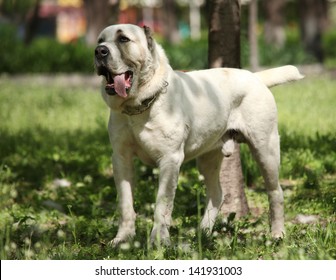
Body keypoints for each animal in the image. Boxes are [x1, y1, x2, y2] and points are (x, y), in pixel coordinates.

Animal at [93, 23, 304, 245]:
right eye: (100, 41)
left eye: (123, 39)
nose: (99, 51)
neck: (139, 106)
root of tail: (255, 76)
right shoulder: (121, 158)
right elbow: (125, 202)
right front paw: (122, 240)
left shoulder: (170, 160)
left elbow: (163, 203)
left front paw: (158, 241)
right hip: (208, 157)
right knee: (217, 193)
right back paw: (203, 232)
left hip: (265, 149)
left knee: (275, 191)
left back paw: (277, 234)